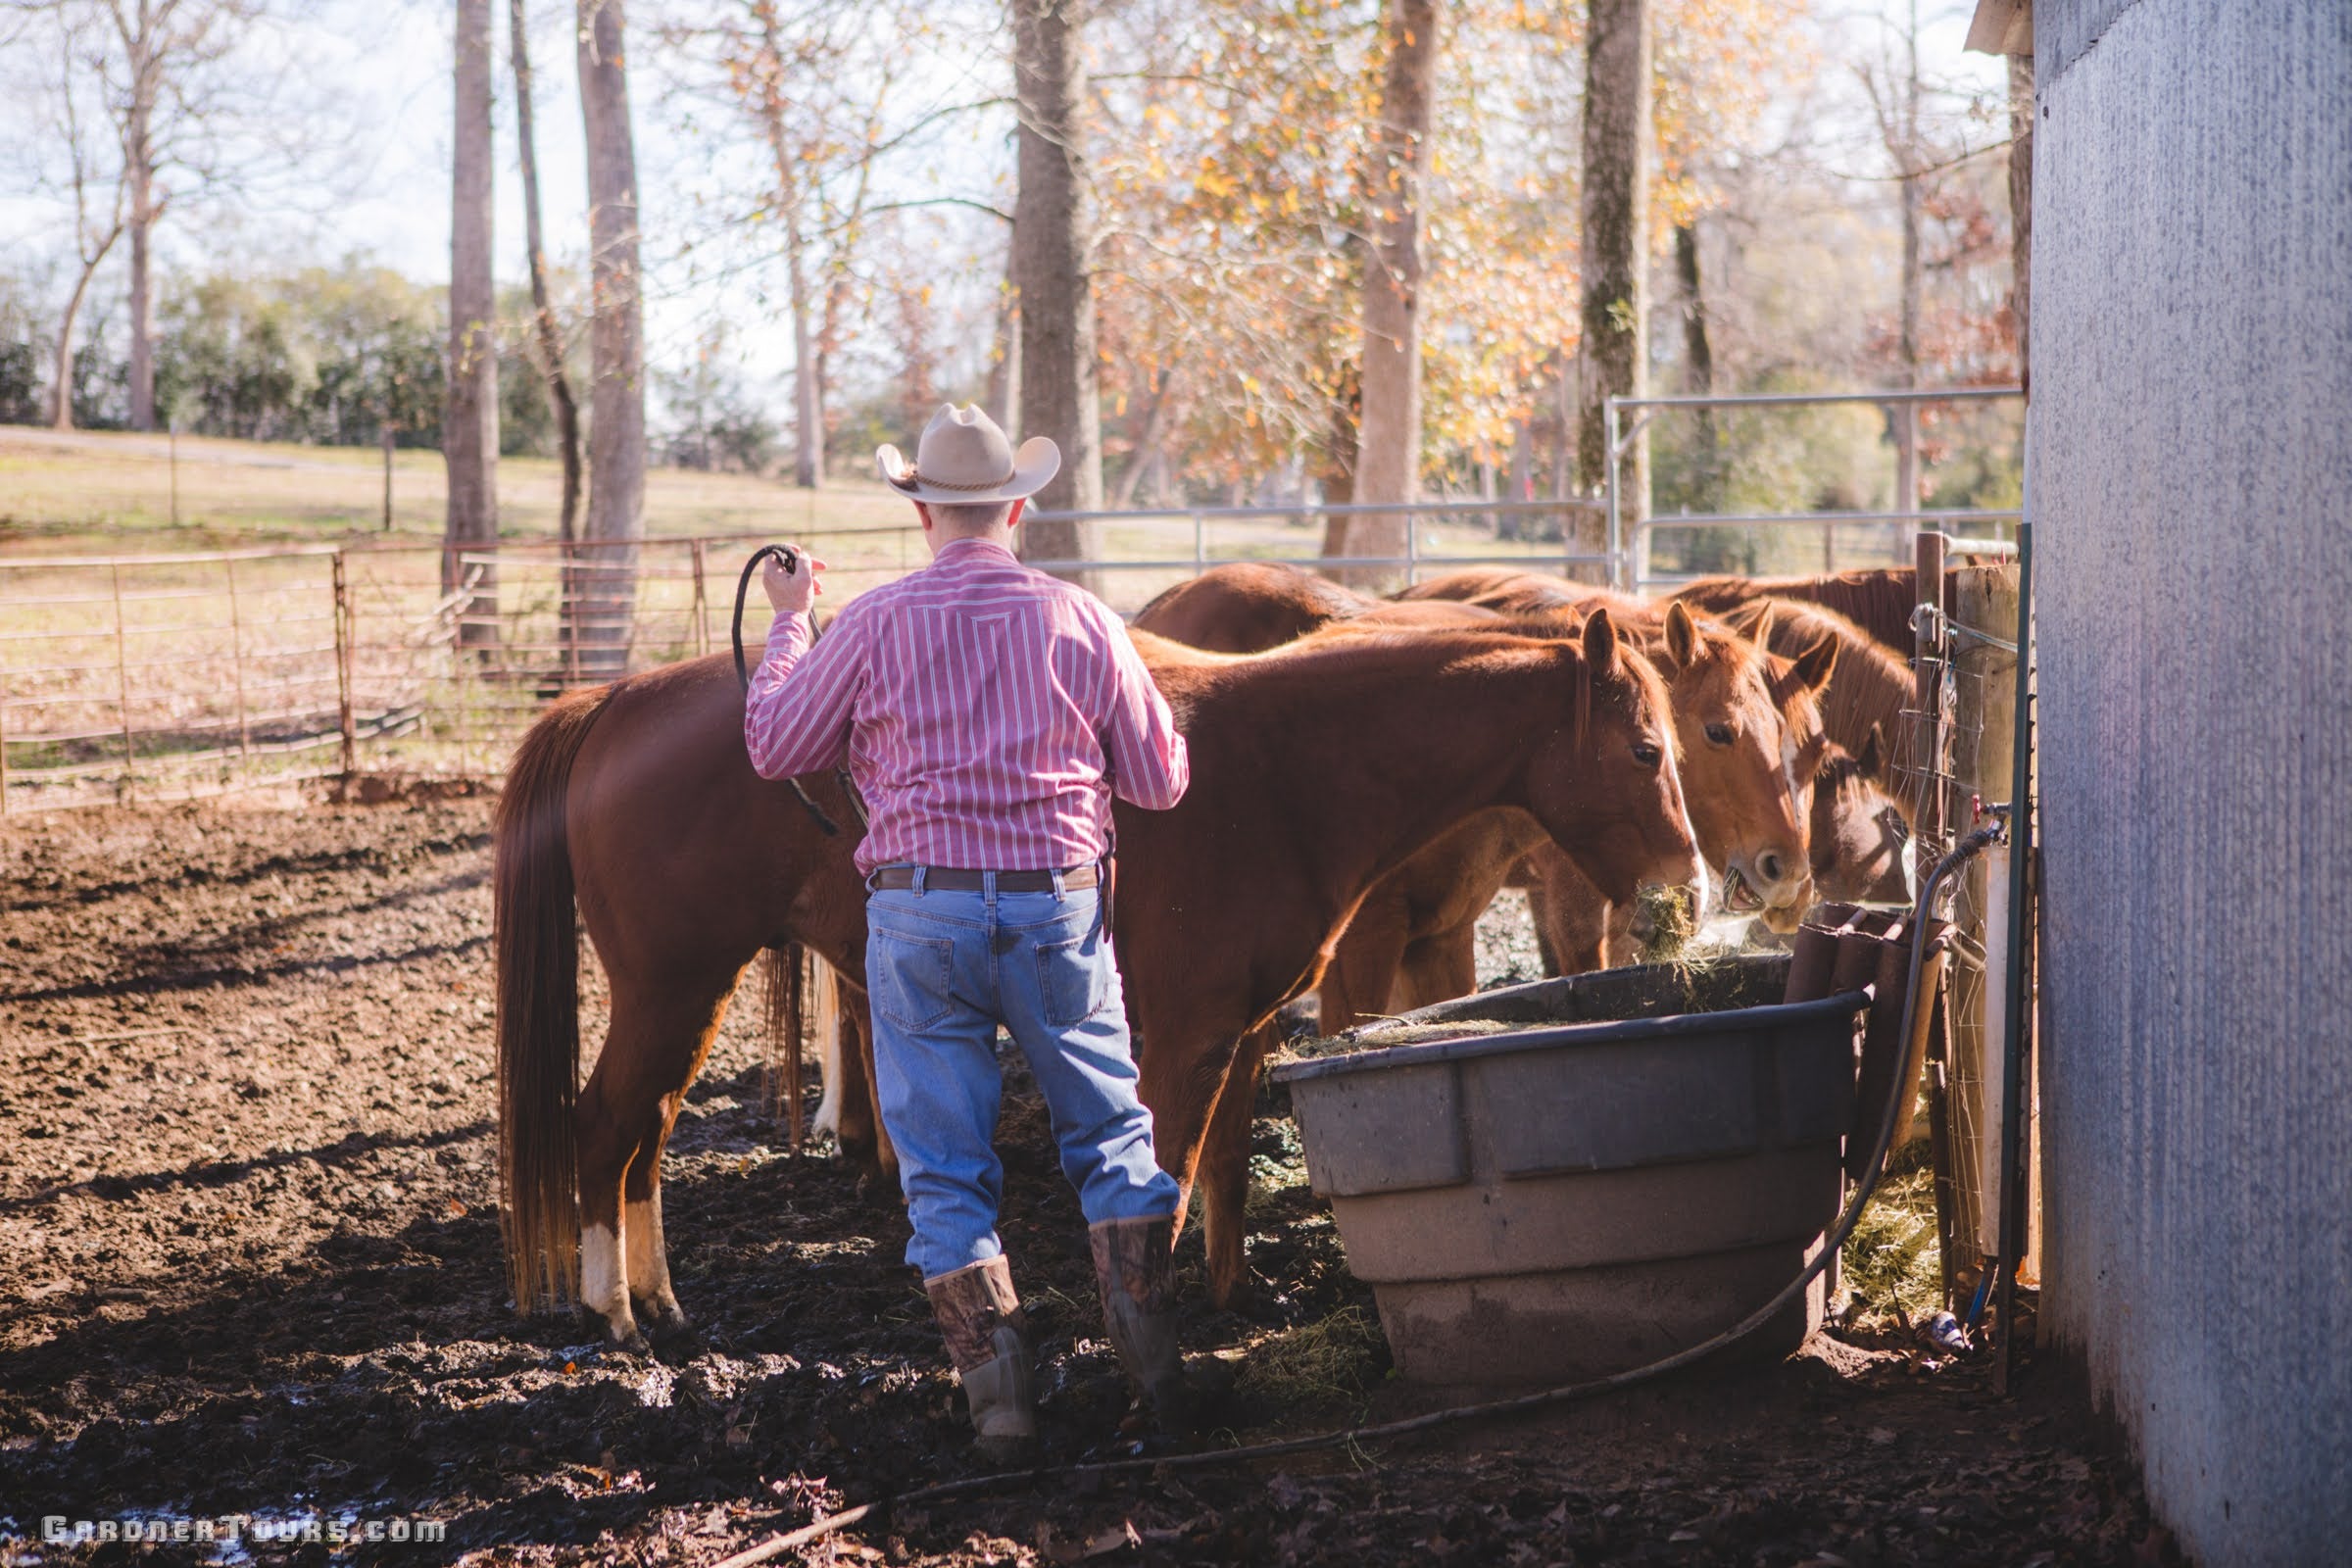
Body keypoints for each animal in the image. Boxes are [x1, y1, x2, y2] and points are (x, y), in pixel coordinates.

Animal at [495, 611, 1708, 1339]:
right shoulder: (1177, 1039)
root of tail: (614, 701)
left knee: (644, 1133)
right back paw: (615, 1317)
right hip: (669, 987)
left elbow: (1224, 1176)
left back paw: (657, 1298)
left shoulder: (1243, 1031)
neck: (1274, 771)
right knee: (604, 1129)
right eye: (1648, 750)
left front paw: (1232, 1298)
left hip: (688, 994)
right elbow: (1159, 1194)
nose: (1688, 887)